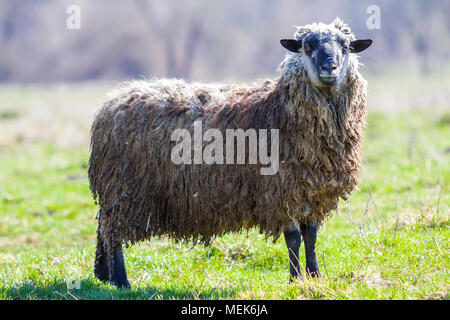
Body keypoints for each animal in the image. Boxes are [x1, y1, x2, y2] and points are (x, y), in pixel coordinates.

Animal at [89, 17, 372, 288]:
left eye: (345, 46)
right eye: (307, 46)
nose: (329, 68)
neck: (280, 111)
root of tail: (111, 102)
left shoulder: (313, 192)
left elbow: (311, 237)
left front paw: (315, 276)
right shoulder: (282, 191)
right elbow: (293, 238)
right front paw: (295, 279)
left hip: (117, 191)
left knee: (102, 226)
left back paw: (104, 274)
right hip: (124, 189)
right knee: (111, 232)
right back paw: (121, 281)